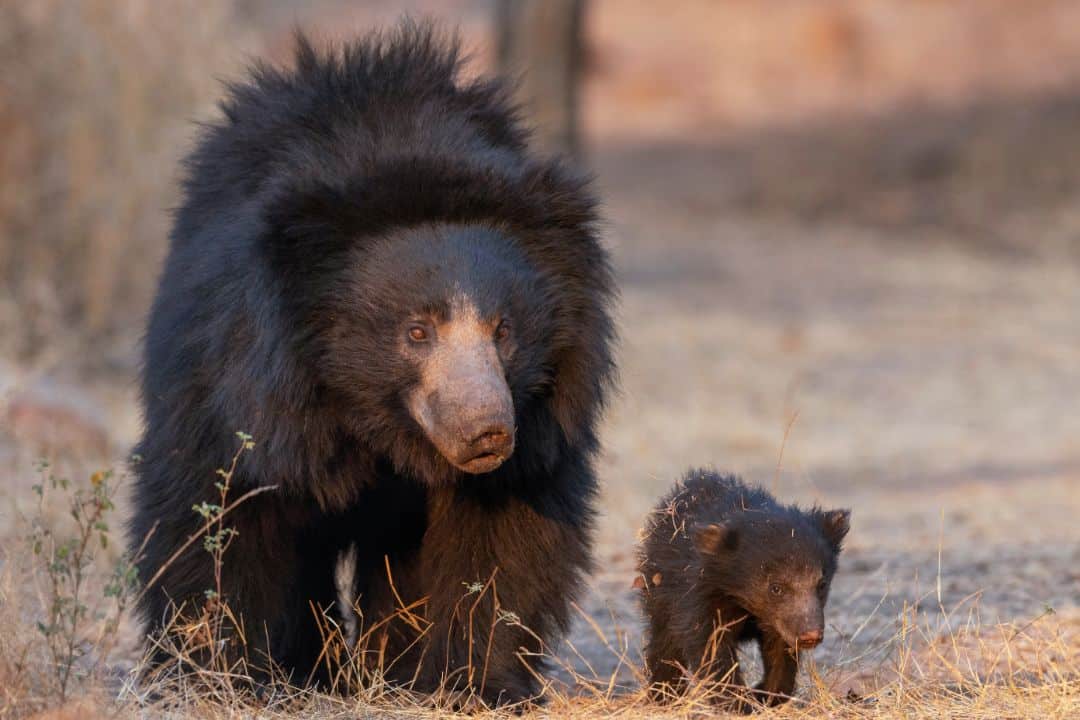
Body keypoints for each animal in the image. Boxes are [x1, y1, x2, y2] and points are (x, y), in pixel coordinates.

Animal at [128, 21, 615, 706]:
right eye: (416, 331)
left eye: (503, 331)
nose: (487, 432)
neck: (376, 423)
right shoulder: (240, 388)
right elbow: (221, 515)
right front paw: (220, 676)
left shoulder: (541, 429)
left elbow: (501, 540)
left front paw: (472, 683)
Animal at [636, 469, 850, 710]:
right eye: (776, 588)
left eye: (821, 584)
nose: (810, 635)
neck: (742, 599)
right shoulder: (697, 593)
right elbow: (710, 644)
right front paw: (737, 703)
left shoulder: (778, 620)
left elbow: (780, 651)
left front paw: (764, 694)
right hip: (659, 590)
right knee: (664, 643)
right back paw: (664, 696)